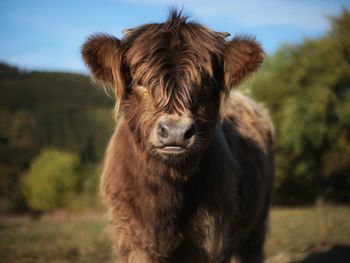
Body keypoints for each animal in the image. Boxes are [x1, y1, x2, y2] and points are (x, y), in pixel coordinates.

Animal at [81, 9, 274, 263]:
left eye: (207, 81)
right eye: (139, 81)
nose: (175, 131)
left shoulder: (213, 238)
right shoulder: (133, 238)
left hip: (257, 221)